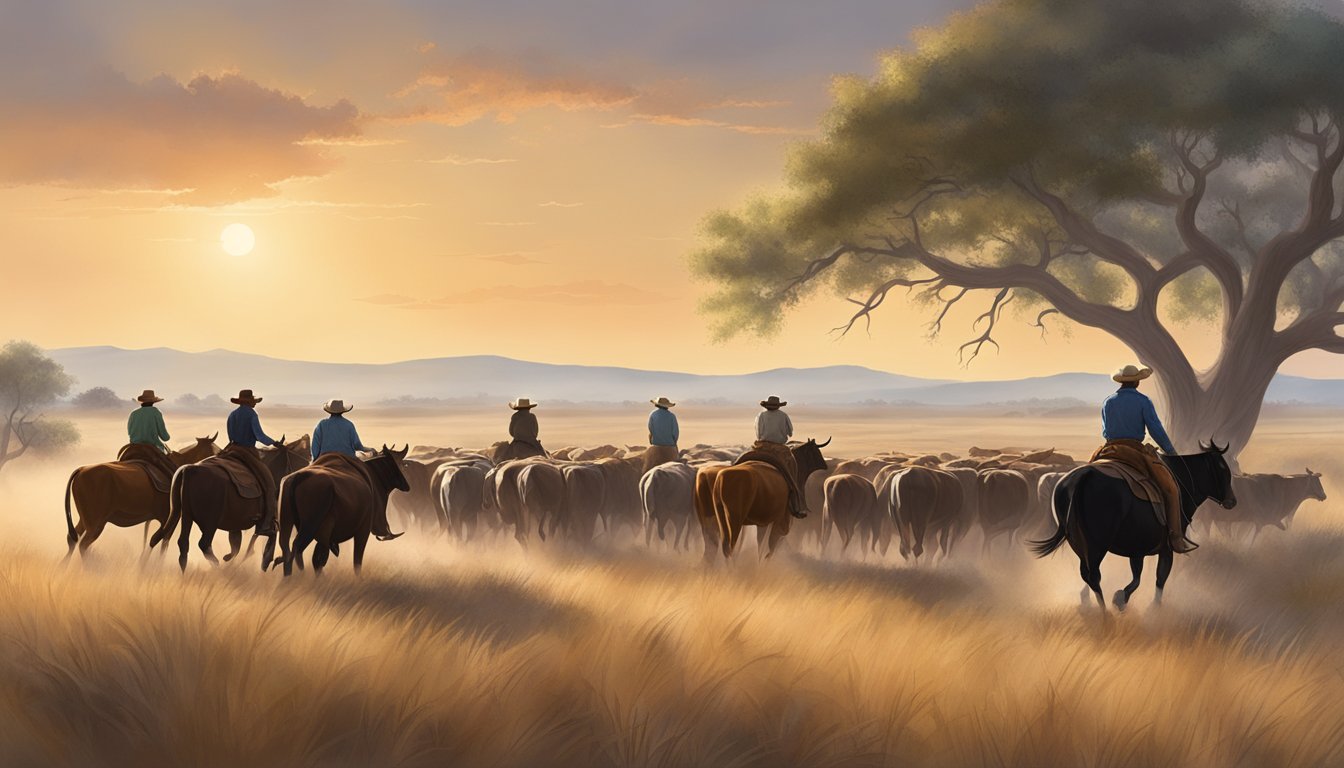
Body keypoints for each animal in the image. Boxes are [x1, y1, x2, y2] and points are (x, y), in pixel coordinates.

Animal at [63, 435, 219, 562]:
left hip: (85, 520)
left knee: (73, 539)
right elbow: (162, 541)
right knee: (83, 544)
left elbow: (151, 539)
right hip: (96, 523)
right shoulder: (169, 518)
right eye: (214, 450)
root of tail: (80, 470)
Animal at [154, 433, 309, 570]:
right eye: (302, 456)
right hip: (209, 523)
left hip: (186, 516)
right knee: (203, 544)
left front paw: (232, 558)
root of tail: (187, 470)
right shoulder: (264, 522)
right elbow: (266, 537)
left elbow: (236, 545)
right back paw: (217, 566)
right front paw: (266, 560)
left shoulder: (237, 524)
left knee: (180, 544)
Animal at [266, 443, 403, 575]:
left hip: (287, 520)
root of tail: (297, 477)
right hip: (311, 525)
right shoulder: (363, 529)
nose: (405, 484)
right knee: (301, 550)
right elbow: (357, 560)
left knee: (287, 548)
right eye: (394, 463)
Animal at [693, 438, 827, 559]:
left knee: (711, 548)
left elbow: (762, 543)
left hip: (711, 520)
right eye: (816, 451)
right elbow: (769, 546)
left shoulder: (763, 522)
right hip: (733, 520)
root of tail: (719, 478)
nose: (825, 465)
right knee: (728, 547)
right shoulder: (780, 522)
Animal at [1026, 441, 1236, 616]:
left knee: (1087, 573)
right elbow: (1159, 577)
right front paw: (1150, 608)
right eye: (1223, 469)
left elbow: (1139, 576)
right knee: (1093, 575)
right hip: (1097, 545)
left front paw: (1120, 598)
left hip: (1079, 543)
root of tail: (1082, 478)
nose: (1232, 501)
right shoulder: (1165, 547)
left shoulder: (1137, 549)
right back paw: (1104, 613)